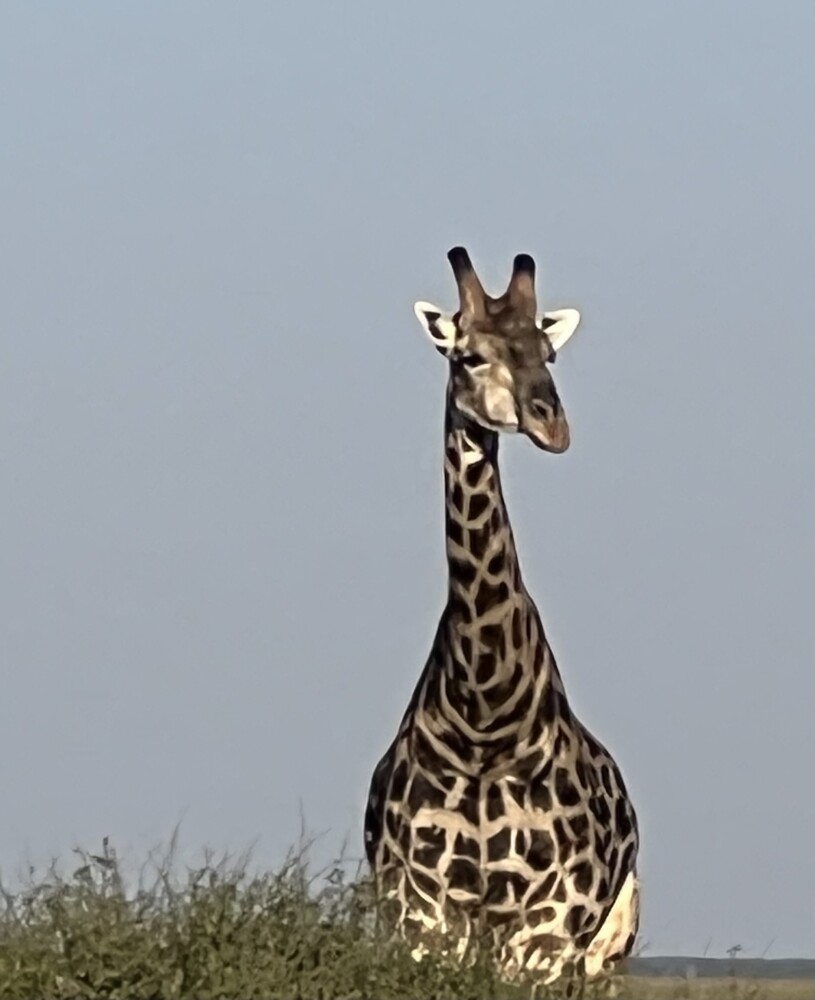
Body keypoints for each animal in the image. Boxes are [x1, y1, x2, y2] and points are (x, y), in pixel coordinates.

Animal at [364, 247, 639, 986]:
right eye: (469, 355)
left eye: (548, 351)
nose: (552, 424)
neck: (484, 714)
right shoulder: (422, 916)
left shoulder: (549, 927)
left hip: (606, 951)